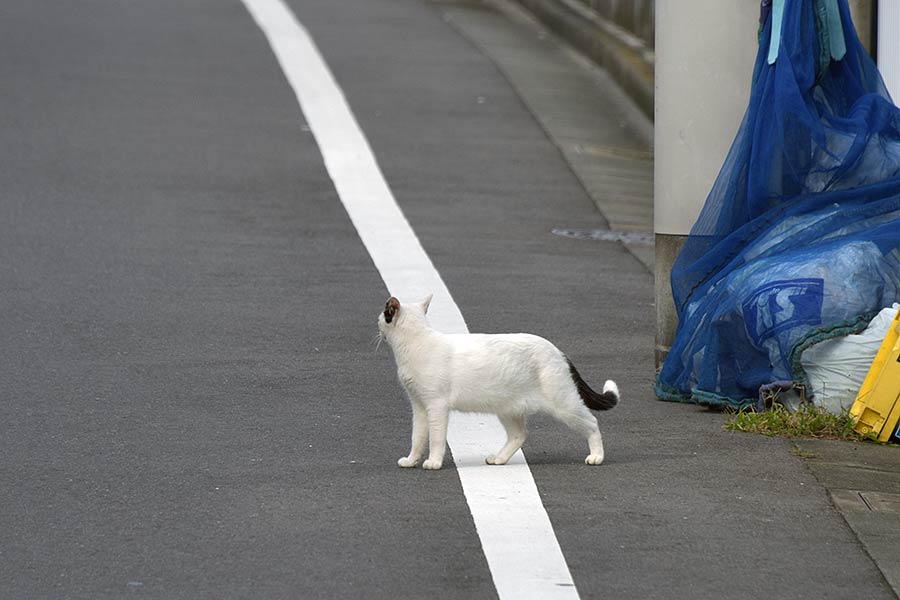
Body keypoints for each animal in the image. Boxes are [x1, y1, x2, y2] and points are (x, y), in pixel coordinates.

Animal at [378, 294, 620, 468]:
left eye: (382, 316)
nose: (377, 323)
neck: (415, 344)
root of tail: (559, 351)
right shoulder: (419, 406)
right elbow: (417, 437)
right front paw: (411, 461)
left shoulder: (436, 406)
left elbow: (436, 438)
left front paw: (434, 462)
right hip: (508, 408)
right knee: (519, 435)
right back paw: (499, 459)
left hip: (564, 406)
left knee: (592, 423)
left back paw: (596, 457)